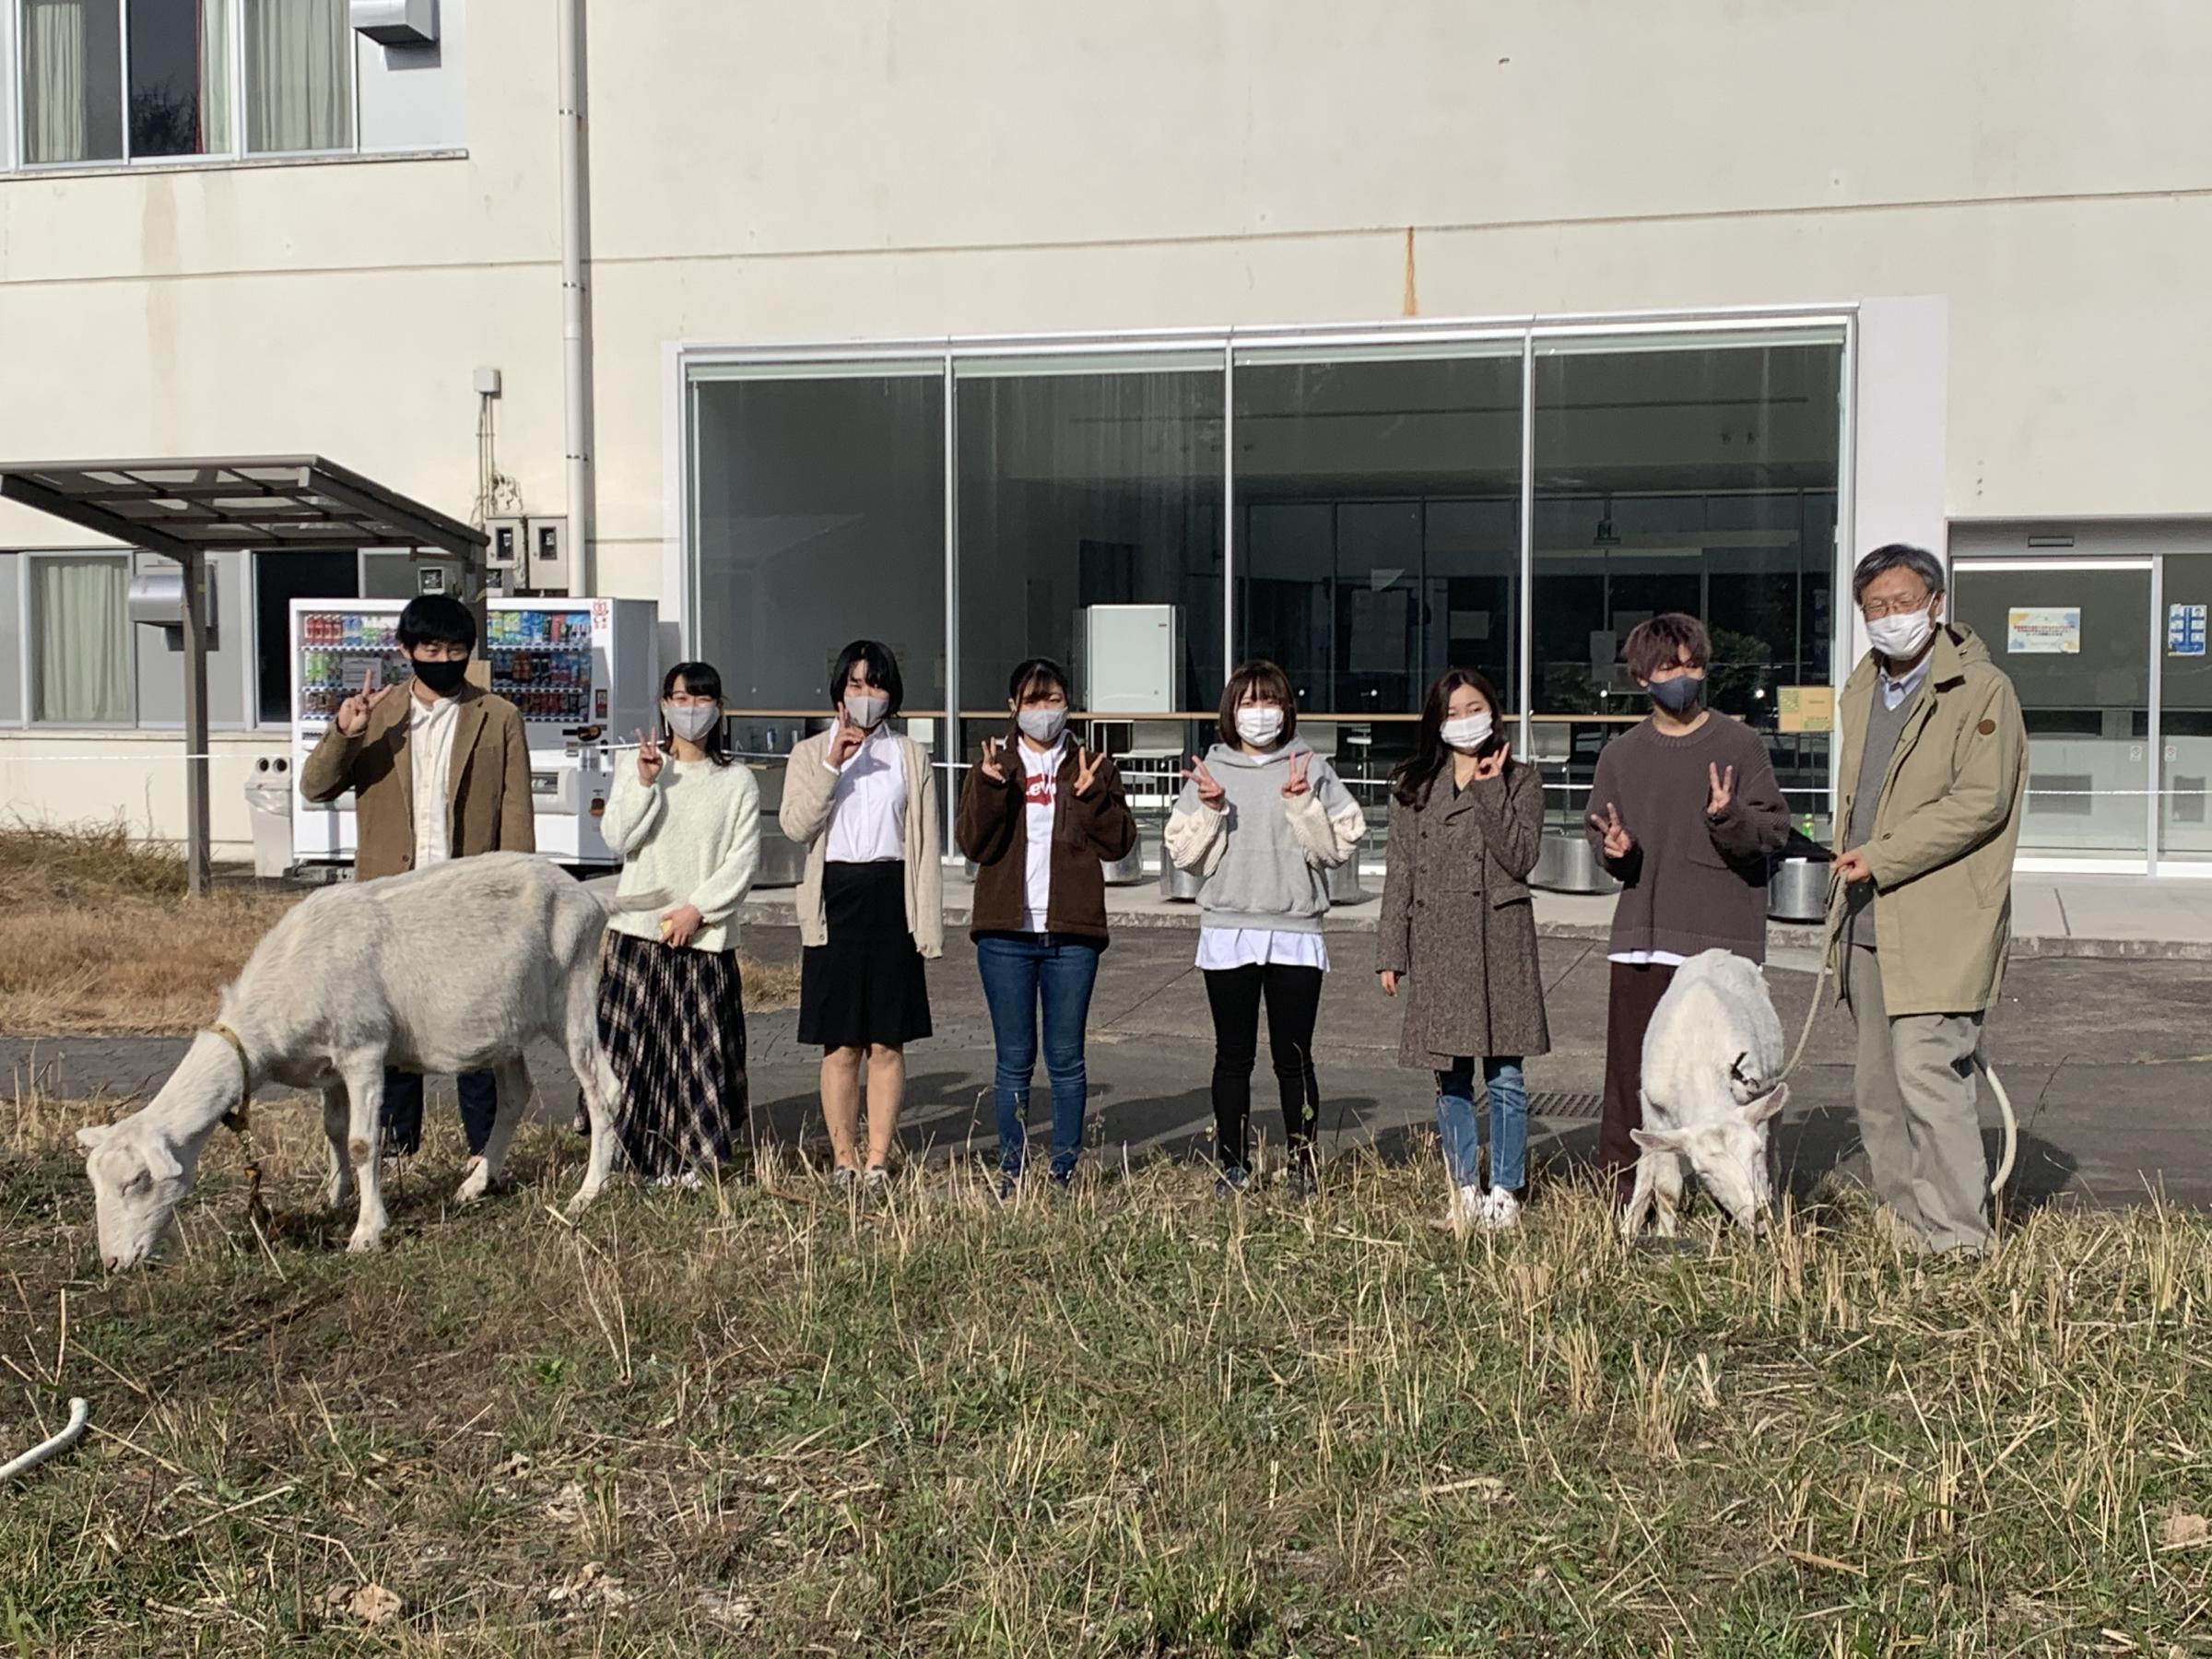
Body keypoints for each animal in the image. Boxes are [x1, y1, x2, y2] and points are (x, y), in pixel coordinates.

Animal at [81, 858, 637, 1274]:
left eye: (136, 1181)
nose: (112, 1263)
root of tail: (589, 897)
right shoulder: (328, 1066)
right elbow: (332, 1128)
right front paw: (335, 1196)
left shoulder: (363, 1049)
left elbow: (363, 1142)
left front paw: (367, 1232)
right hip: (505, 1023)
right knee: (516, 1092)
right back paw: (475, 1184)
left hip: (571, 994)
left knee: (603, 1088)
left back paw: (587, 1193)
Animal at [1628, 955, 1795, 1239]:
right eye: (1704, 1172)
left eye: (1755, 1151)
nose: (1759, 1220)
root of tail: (1719, 952)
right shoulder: (1656, 1110)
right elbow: (1667, 1189)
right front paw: (1665, 1238)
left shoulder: (1753, 1099)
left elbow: (1765, 1170)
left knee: (1775, 1163)